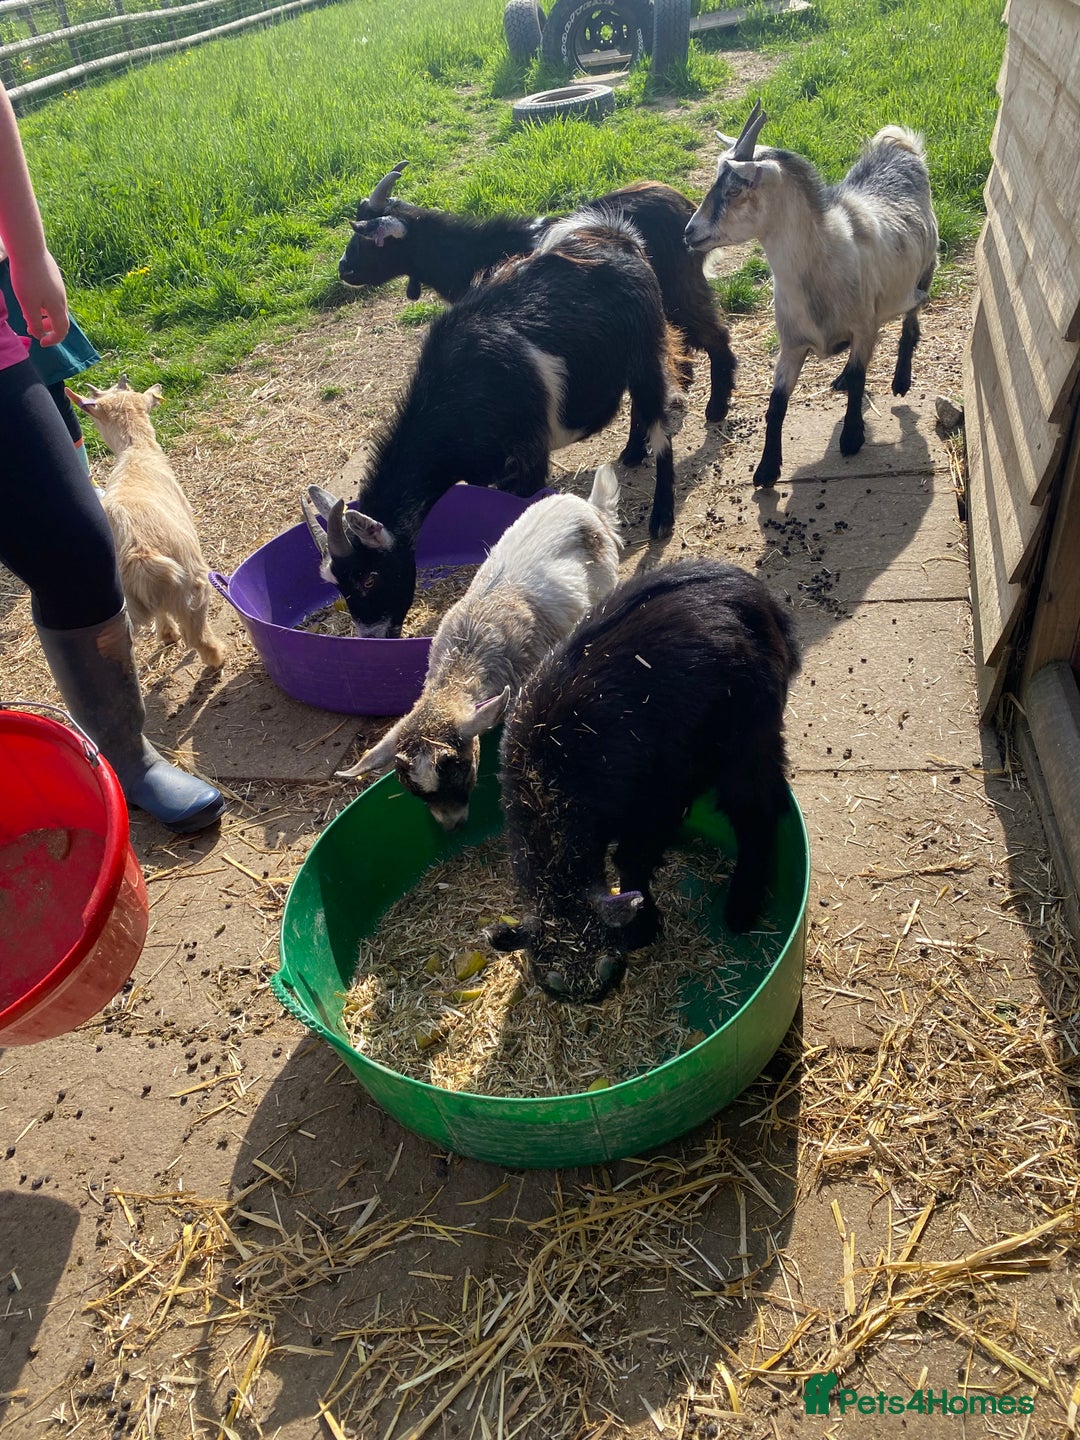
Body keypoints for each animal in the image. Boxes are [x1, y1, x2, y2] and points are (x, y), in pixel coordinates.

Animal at [67, 378, 226, 669]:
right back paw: (217, 657)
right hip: (194, 582)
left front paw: (167, 635)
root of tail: (139, 555)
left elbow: (161, 613)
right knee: (198, 637)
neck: (136, 451)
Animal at [305, 214, 685, 638]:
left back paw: (661, 517)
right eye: (336, 583)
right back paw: (632, 453)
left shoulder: (528, 458)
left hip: (647, 348)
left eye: (370, 578)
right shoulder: (484, 471)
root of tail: (616, 236)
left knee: (661, 421)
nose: (374, 635)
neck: (454, 398)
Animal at [339, 163, 736, 426]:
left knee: (716, 335)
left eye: (367, 239)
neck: (477, 253)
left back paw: (716, 408)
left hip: (680, 288)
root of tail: (685, 207)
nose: (343, 269)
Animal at [486, 558, 801, 1004]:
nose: (592, 998)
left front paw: (644, 925)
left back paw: (743, 904)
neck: (546, 780)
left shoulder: (657, 796)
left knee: (756, 809)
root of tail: (755, 594)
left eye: (610, 966)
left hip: (749, 731)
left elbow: (630, 858)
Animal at [684, 102, 938, 488]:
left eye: (734, 191)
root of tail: (899, 147)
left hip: (924, 272)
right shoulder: (792, 343)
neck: (824, 258)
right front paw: (766, 469)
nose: (689, 232)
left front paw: (851, 438)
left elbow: (861, 376)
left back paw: (900, 380)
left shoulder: (863, 326)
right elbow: (776, 404)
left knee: (911, 321)